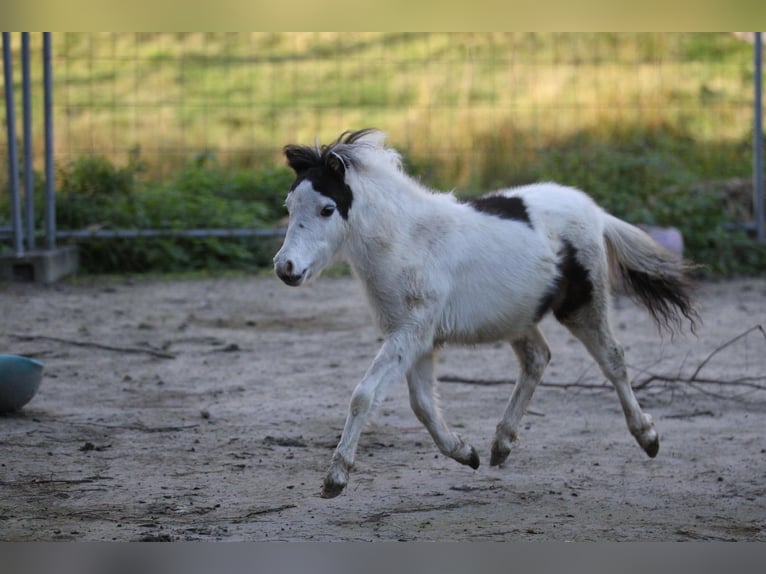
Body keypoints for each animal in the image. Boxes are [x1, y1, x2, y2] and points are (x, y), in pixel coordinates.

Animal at [276, 130, 704, 500]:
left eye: (327, 208)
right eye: (289, 206)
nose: (285, 268)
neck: (407, 241)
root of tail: (595, 212)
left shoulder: (412, 332)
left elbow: (365, 395)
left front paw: (336, 478)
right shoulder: (415, 336)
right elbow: (423, 404)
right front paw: (466, 452)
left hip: (584, 306)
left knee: (612, 361)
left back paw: (647, 437)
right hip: (518, 316)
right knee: (537, 359)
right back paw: (501, 445)